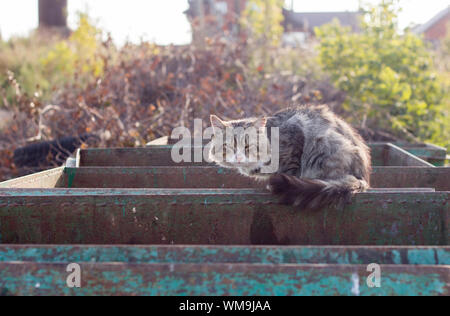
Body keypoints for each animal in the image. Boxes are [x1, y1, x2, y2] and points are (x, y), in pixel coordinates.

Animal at [209, 105, 370, 211]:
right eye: (229, 146)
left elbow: (290, 171)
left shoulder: (294, 141)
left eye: (248, 146)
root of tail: (363, 178)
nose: (239, 157)